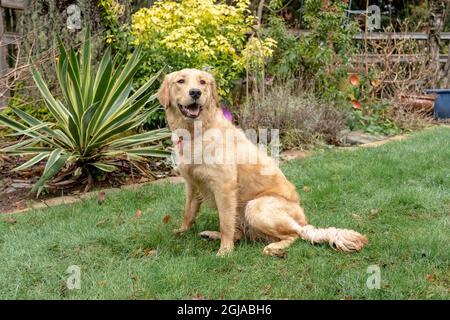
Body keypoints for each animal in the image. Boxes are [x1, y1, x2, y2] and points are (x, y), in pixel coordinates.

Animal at [156, 69, 368, 256]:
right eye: (181, 81)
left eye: (202, 82)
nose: (195, 93)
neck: (196, 132)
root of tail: (304, 222)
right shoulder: (192, 184)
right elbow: (188, 212)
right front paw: (182, 231)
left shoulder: (224, 187)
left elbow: (225, 224)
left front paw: (225, 252)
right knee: (241, 234)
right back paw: (212, 235)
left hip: (255, 206)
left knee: (294, 235)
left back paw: (273, 248)